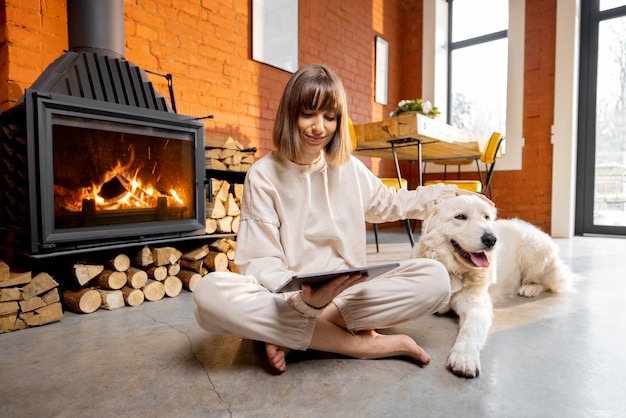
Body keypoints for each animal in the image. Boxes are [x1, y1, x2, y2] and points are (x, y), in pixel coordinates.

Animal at [408, 196, 572, 378]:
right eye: (460, 217)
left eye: (486, 217)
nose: (491, 239)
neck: (453, 271)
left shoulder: (477, 306)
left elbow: (470, 330)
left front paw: (464, 357)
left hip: (534, 250)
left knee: (551, 282)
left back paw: (530, 288)